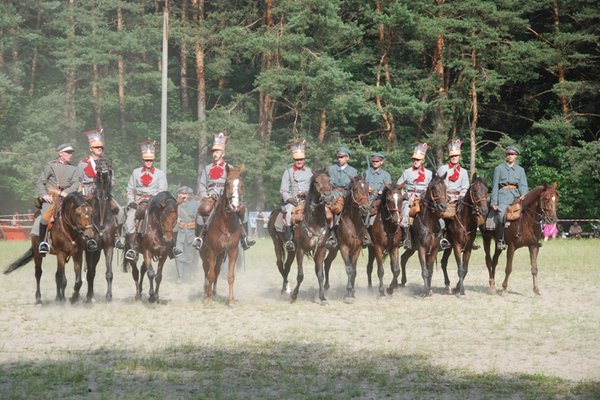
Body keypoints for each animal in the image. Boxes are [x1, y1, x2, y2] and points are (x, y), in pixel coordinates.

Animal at [200, 166, 245, 306]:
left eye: (241, 184)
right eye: (227, 183)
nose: (235, 205)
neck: (226, 223)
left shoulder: (232, 251)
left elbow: (230, 276)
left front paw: (230, 300)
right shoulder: (211, 251)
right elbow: (210, 274)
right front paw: (208, 299)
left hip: (220, 255)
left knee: (217, 270)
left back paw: (213, 292)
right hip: (204, 253)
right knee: (206, 269)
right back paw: (206, 292)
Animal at [324, 176, 370, 304]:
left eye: (367, 189)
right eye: (355, 189)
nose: (366, 207)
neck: (353, 222)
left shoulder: (356, 249)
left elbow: (354, 270)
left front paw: (353, 293)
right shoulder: (344, 248)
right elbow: (349, 269)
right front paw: (348, 294)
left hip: (333, 250)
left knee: (327, 263)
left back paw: (326, 287)